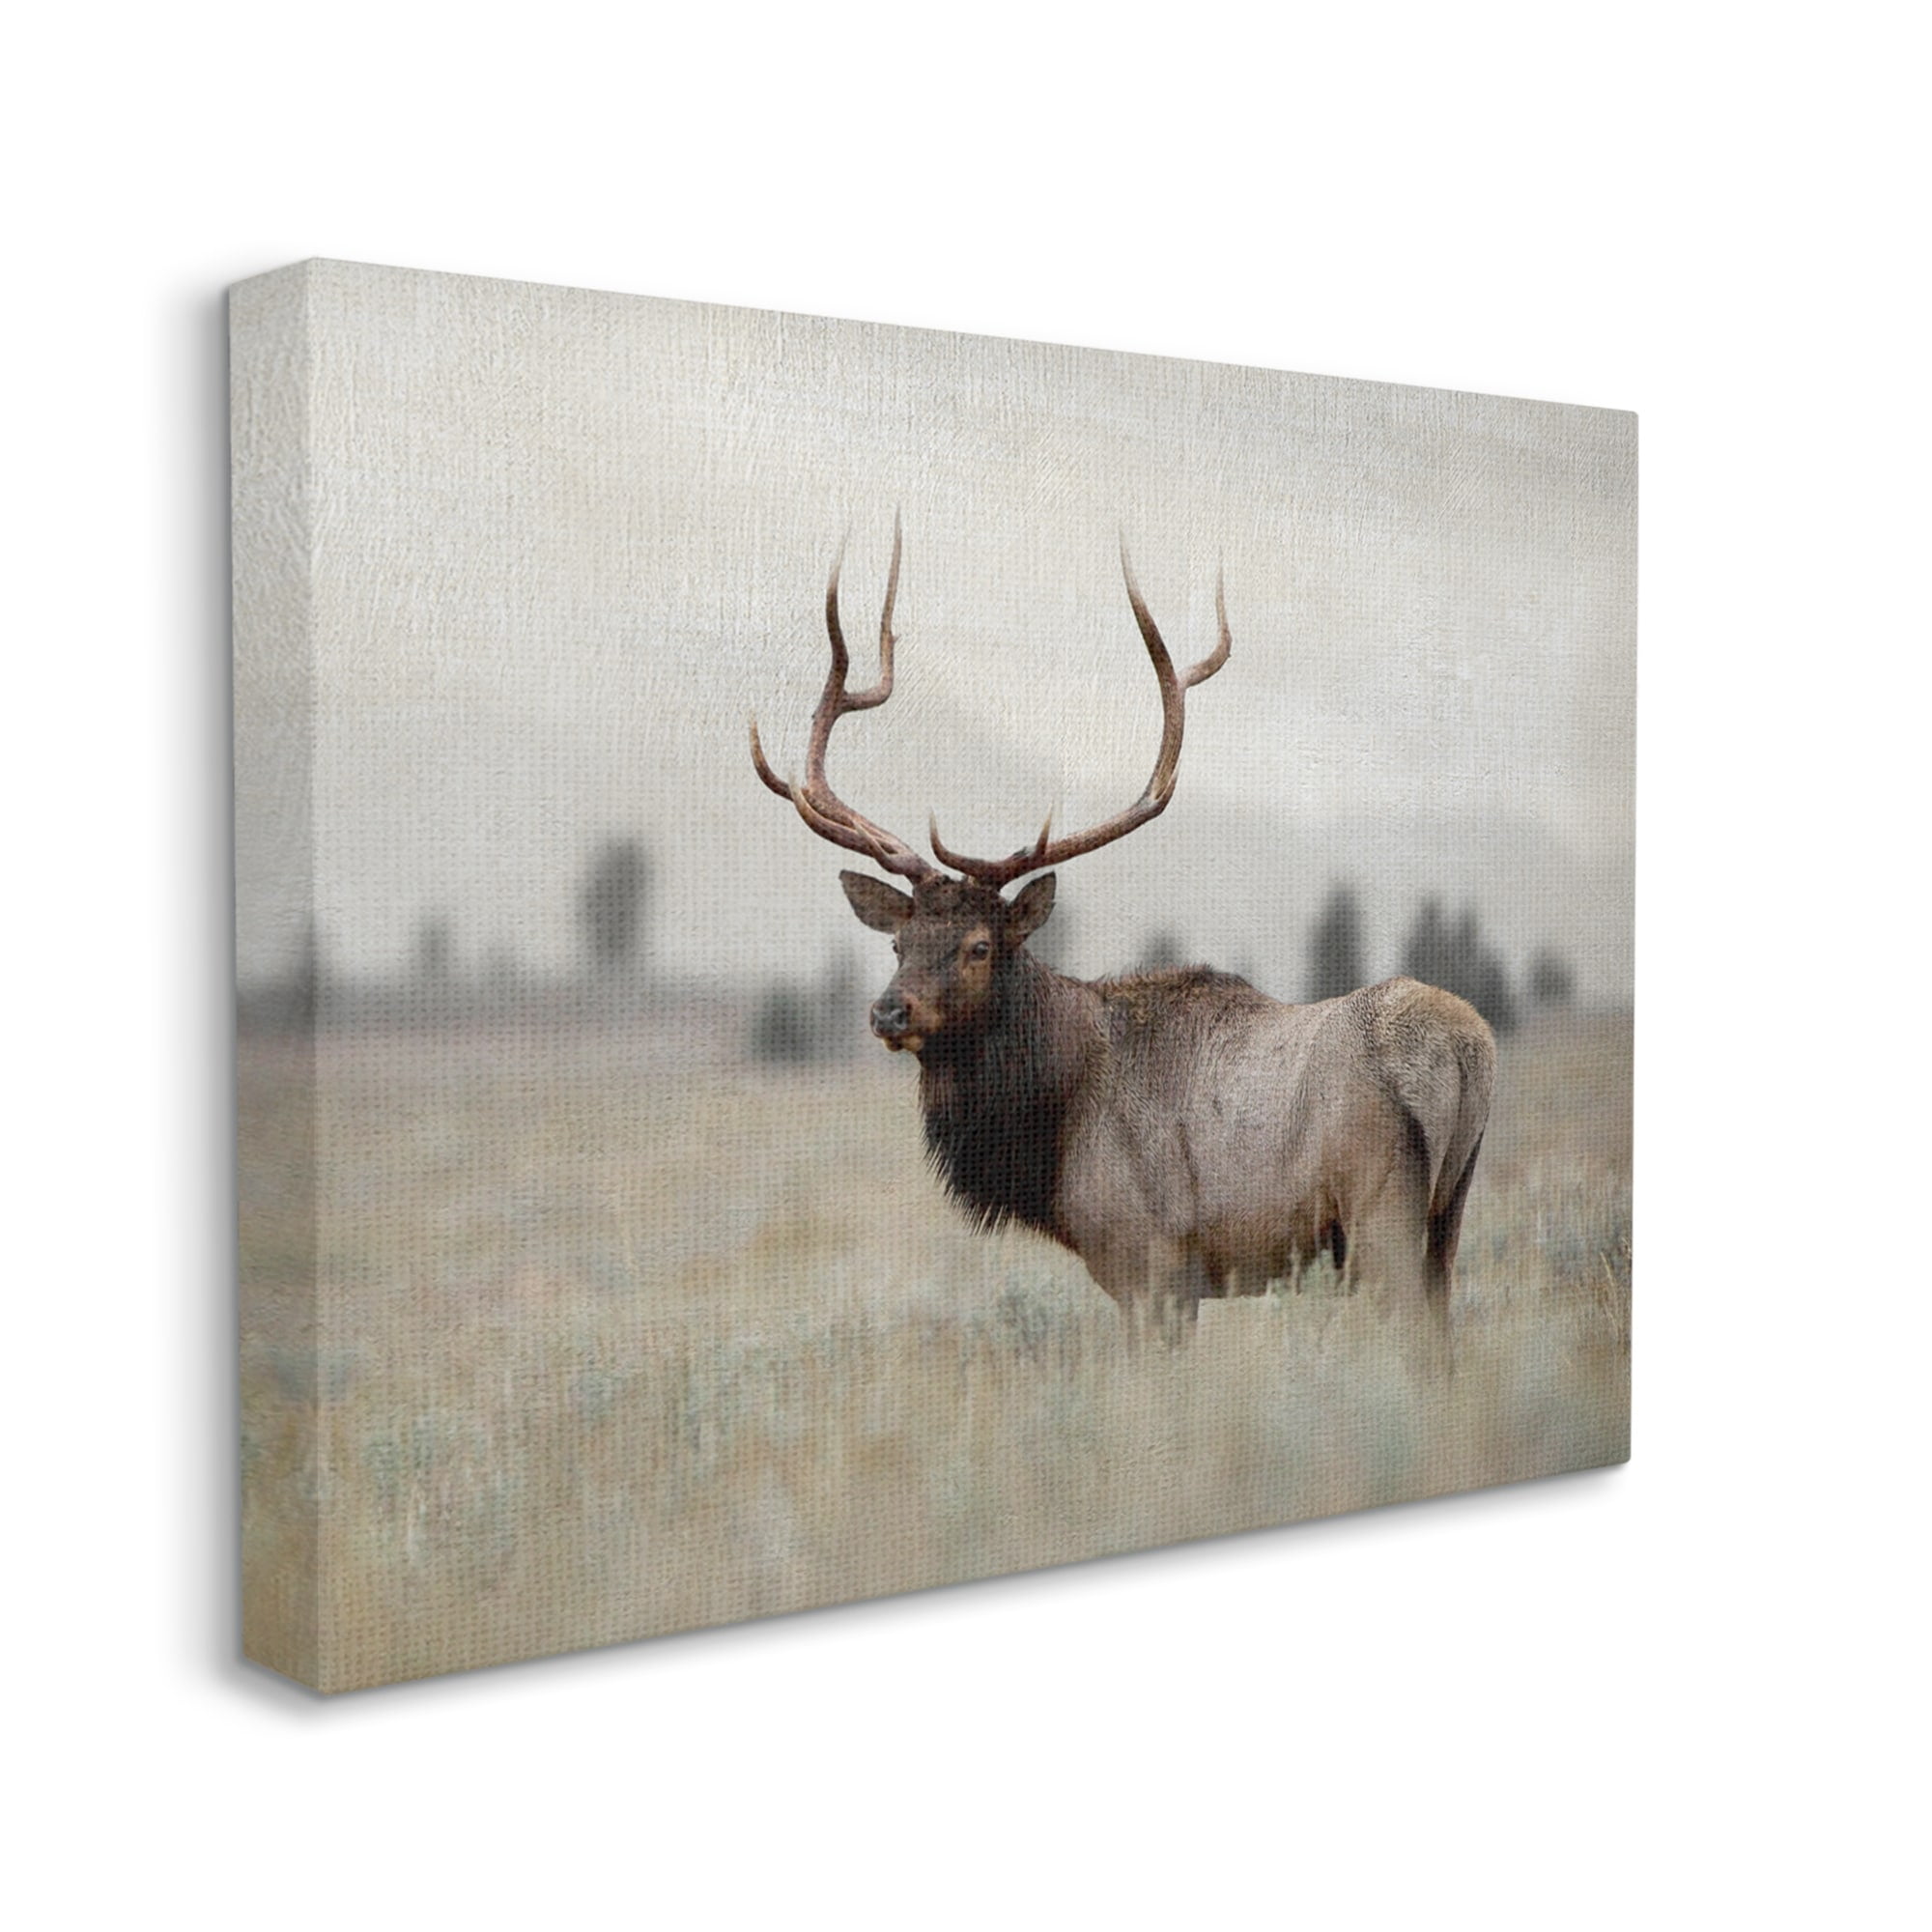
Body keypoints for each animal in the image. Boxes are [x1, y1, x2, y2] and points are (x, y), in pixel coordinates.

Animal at [750, 520, 1496, 1348]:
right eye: (897, 944)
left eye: (980, 946)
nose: (889, 1011)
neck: (1053, 1134)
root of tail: (1467, 1050)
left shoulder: (1149, 1261)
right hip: (1447, 1217)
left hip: (1380, 1213)